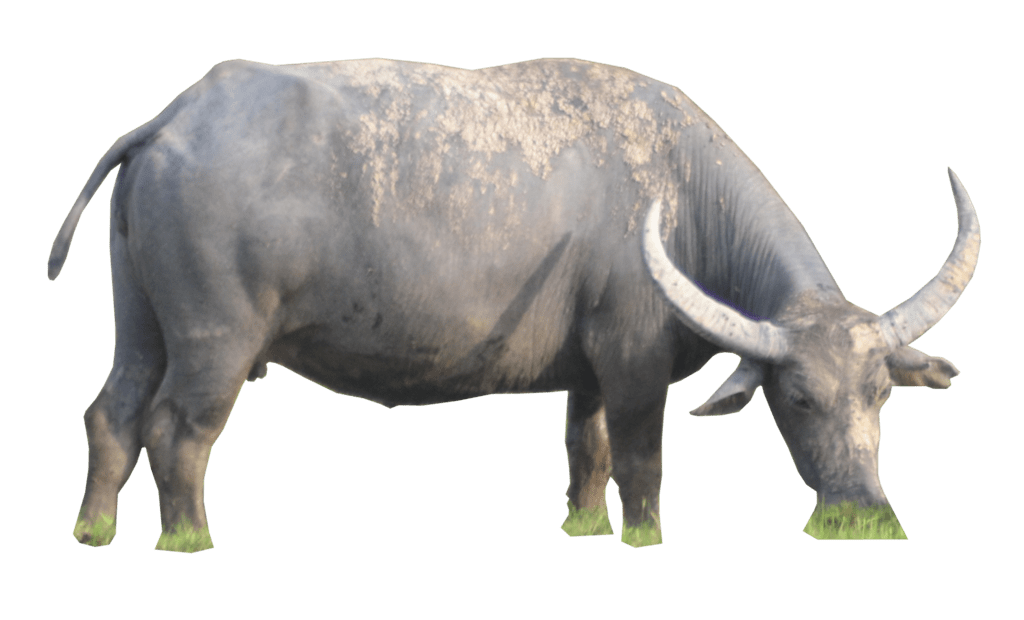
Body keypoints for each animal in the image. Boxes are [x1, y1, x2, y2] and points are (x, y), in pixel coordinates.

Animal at [48, 58, 979, 551]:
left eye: (881, 394)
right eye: (798, 398)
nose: (865, 508)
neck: (683, 193)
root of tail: (173, 118)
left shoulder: (589, 373)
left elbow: (586, 453)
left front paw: (583, 529)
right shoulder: (634, 365)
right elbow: (640, 463)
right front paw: (642, 537)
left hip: (142, 326)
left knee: (112, 415)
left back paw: (94, 531)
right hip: (215, 341)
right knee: (178, 432)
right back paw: (188, 539)